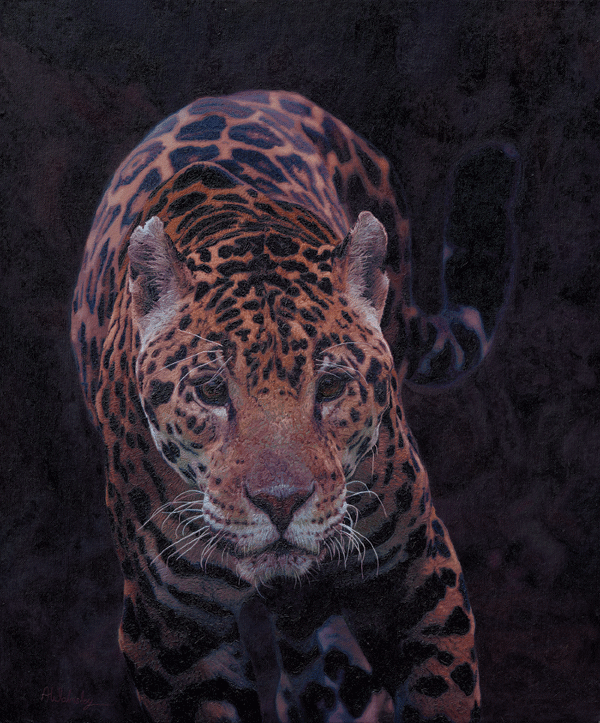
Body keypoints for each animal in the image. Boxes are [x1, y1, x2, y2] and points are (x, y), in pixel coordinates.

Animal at [71, 90, 514, 722]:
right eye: (211, 391)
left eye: (329, 388)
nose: (280, 503)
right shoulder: (171, 640)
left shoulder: (422, 577)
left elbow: (444, 696)